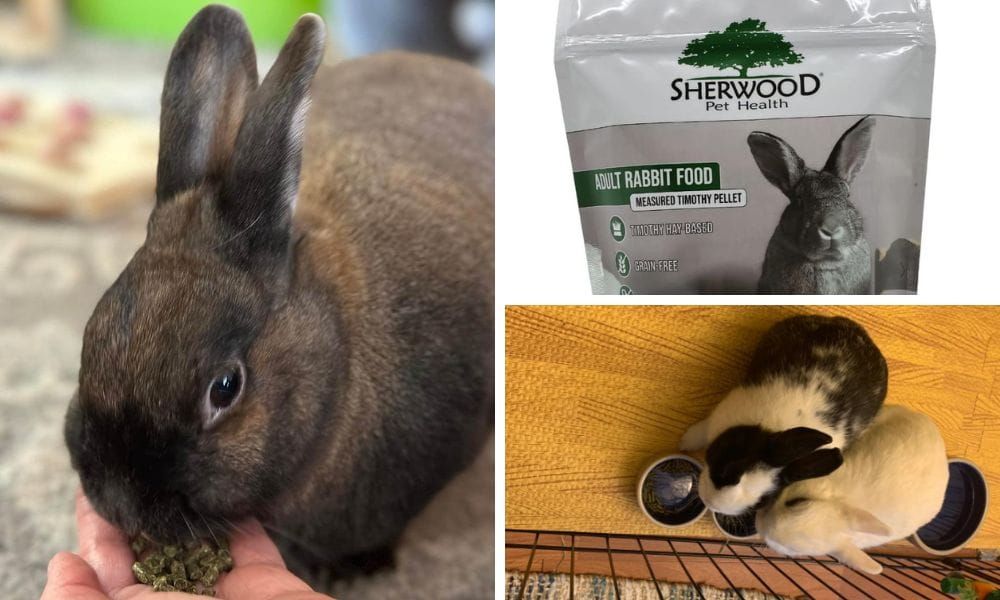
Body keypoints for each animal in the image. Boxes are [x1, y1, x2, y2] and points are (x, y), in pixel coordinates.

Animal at [679, 315, 887, 516]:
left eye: (761, 502)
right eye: (730, 468)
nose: (711, 503)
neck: (771, 429)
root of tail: (863, 335)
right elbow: (702, 429)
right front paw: (685, 441)